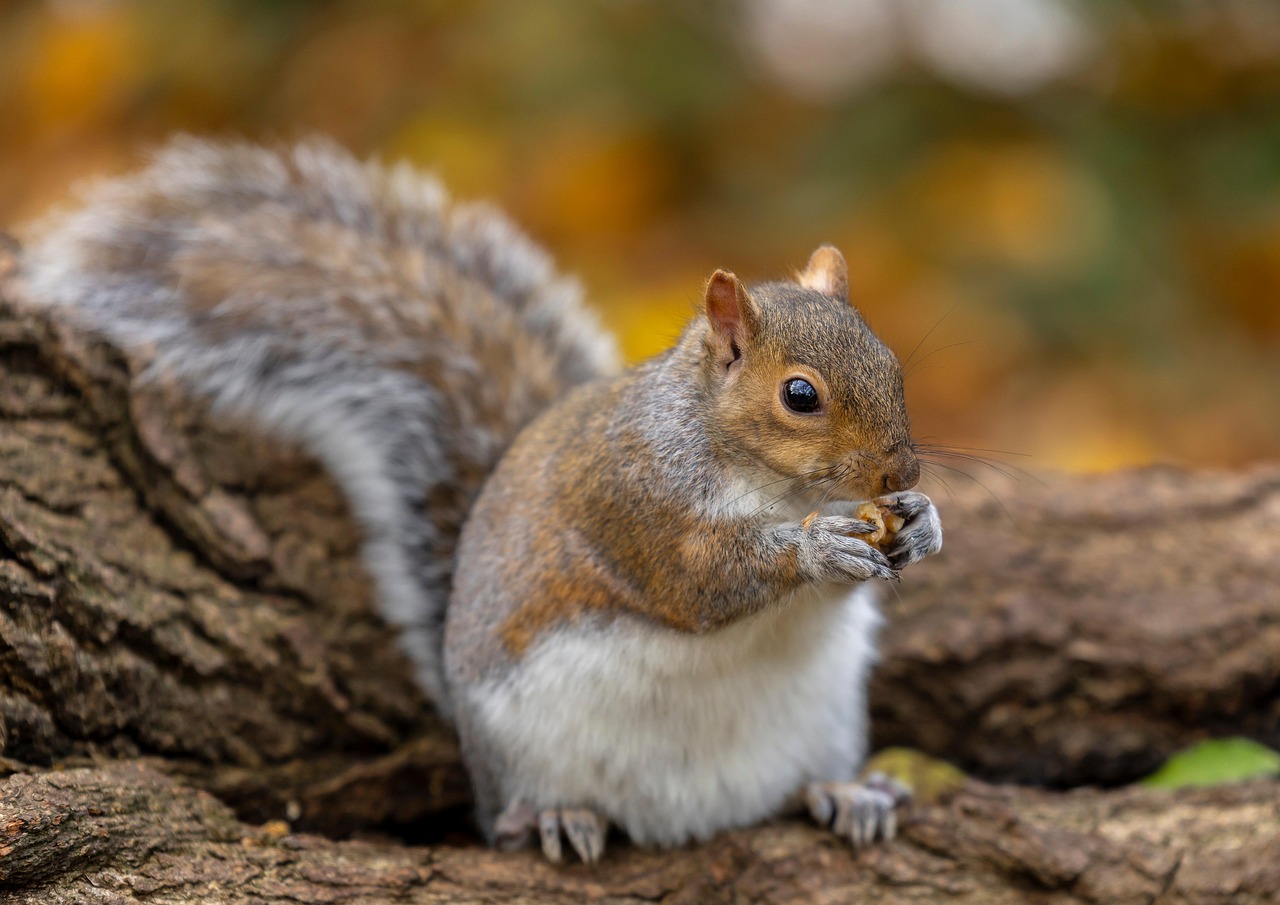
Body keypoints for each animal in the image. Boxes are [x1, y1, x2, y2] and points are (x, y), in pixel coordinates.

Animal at [19, 137, 943, 863]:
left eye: (893, 360)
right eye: (799, 395)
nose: (898, 472)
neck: (765, 478)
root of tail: (695, 816)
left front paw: (923, 525)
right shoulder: (634, 495)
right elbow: (699, 579)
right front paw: (818, 545)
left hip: (824, 717)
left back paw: (844, 792)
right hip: (521, 746)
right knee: (506, 819)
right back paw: (552, 816)